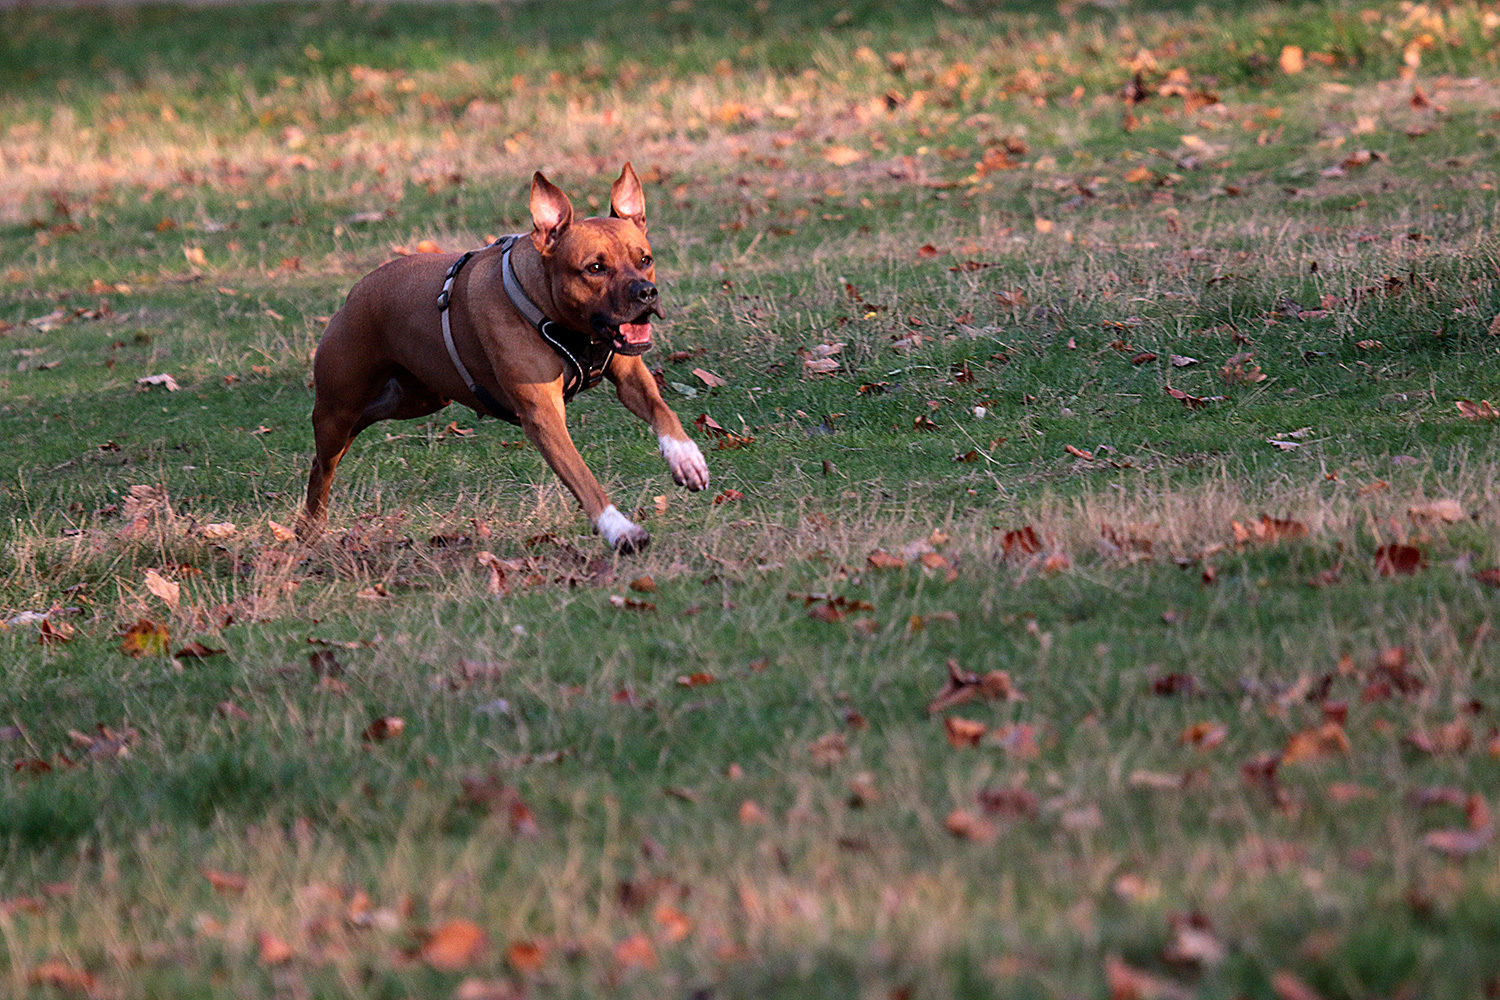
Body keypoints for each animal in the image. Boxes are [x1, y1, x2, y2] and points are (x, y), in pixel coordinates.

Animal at [301, 166, 711, 554]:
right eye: (595, 268)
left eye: (645, 259)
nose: (646, 292)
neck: (557, 317)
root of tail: (357, 291)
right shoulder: (543, 415)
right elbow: (583, 477)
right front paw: (620, 529)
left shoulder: (629, 373)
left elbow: (661, 410)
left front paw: (686, 458)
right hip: (339, 409)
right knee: (323, 463)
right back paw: (310, 527)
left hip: (416, 398)